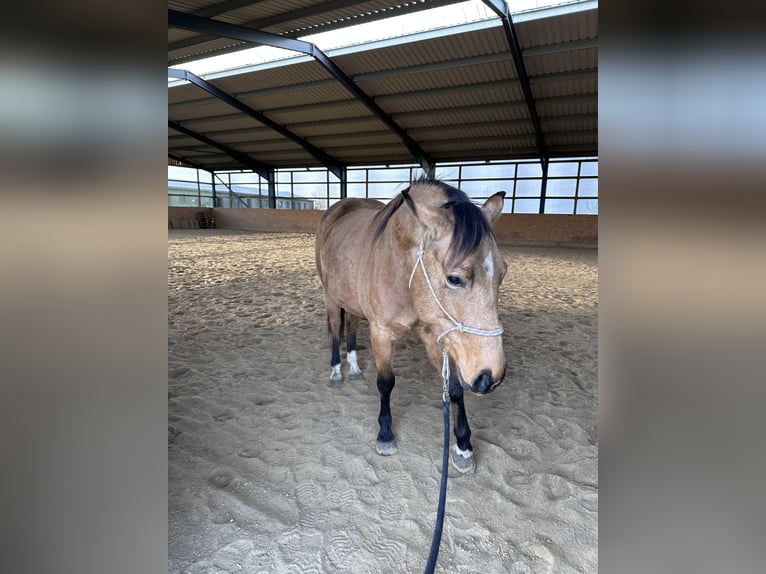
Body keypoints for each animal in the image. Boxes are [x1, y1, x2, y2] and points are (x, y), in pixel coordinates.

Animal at [315, 178, 507, 473]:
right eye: (454, 278)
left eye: (503, 273)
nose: (490, 378)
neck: (401, 267)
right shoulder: (381, 333)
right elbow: (386, 382)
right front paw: (385, 435)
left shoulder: (436, 335)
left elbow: (454, 389)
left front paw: (463, 448)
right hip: (331, 297)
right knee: (336, 330)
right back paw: (337, 372)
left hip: (353, 301)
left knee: (352, 327)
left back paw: (355, 368)